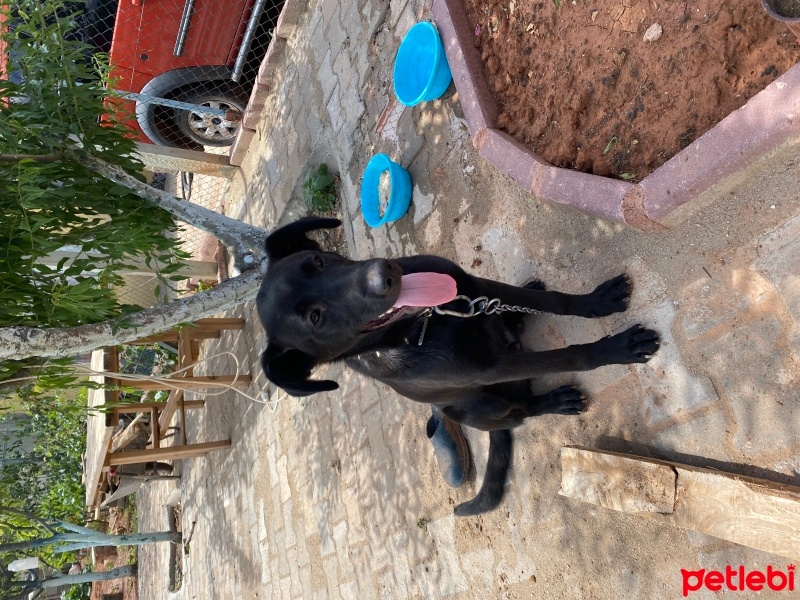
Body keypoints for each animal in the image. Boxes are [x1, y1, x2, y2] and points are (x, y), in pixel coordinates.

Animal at [258, 218, 664, 516]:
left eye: (318, 262)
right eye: (316, 318)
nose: (384, 274)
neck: (425, 322)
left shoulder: (476, 287)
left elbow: (554, 301)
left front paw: (597, 302)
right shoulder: (493, 367)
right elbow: (569, 355)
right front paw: (617, 348)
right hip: (480, 405)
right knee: (521, 411)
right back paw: (553, 401)